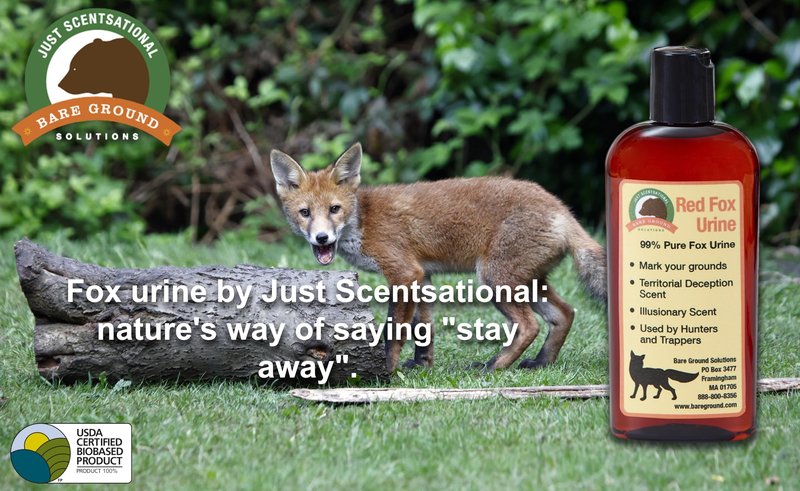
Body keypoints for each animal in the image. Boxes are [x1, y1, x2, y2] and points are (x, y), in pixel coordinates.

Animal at [270, 142, 606, 372]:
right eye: (305, 213)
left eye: (334, 209)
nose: (322, 238)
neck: (363, 220)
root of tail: (562, 210)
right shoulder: (423, 276)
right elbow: (423, 328)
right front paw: (422, 366)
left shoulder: (403, 273)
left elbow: (394, 331)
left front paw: (386, 370)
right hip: (527, 282)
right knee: (565, 314)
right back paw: (540, 363)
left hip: (495, 280)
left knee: (529, 326)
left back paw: (493, 366)